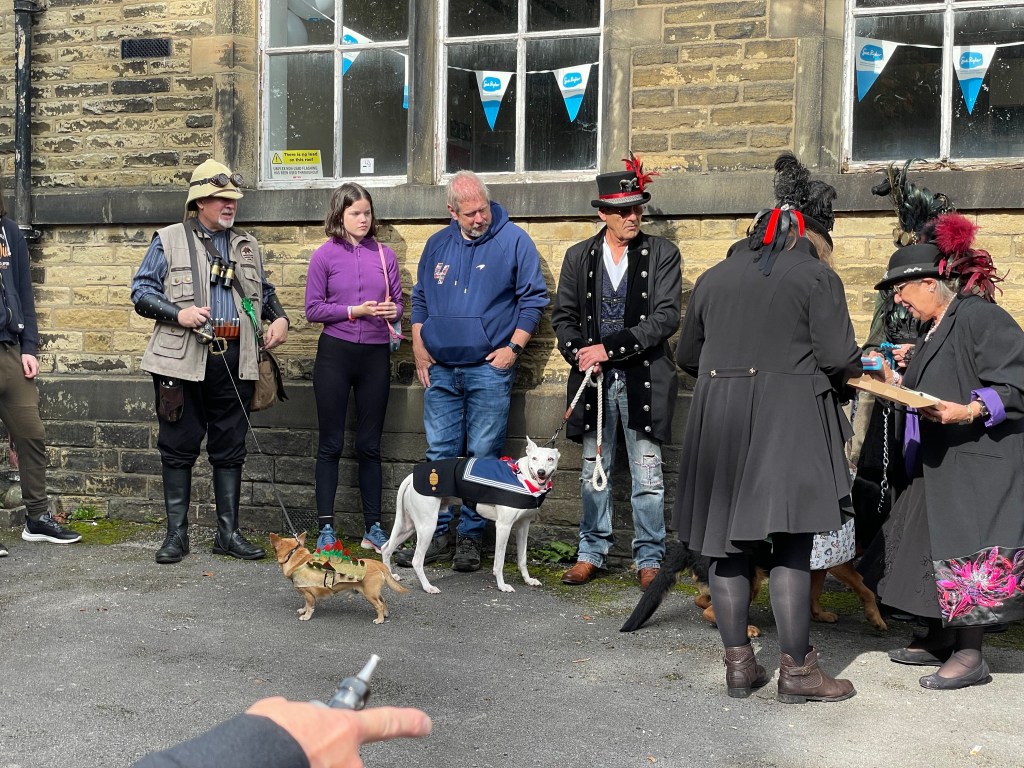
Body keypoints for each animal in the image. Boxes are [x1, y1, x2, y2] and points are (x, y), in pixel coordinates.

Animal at [270, 532, 408, 624]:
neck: (297, 559)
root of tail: (379, 564)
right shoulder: (306, 594)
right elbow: (305, 604)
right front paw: (303, 610)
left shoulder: (308, 594)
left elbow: (310, 606)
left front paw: (306, 616)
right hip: (374, 592)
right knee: (383, 600)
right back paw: (385, 614)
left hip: (369, 594)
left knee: (379, 605)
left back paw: (379, 619)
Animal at [380, 437, 560, 594]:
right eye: (534, 458)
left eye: (550, 459)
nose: (541, 472)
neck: (523, 477)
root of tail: (412, 476)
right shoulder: (503, 526)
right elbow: (499, 562)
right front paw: (502, 585)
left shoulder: (523, 526)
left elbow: (522, 558)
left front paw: (528, 580)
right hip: (427, 526)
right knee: (416, 560)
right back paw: (427, 587)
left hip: (409, 526)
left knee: (386, 548)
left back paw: (390, 576)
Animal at [621, 541, 887, 634]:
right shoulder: (838, 559)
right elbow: (865, 588)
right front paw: (876, 618)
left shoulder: (820, 564)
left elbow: (814, 593)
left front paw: (818, 614)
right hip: (750, 579)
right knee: (712, 611)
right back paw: (745, 628)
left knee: (703, 601)